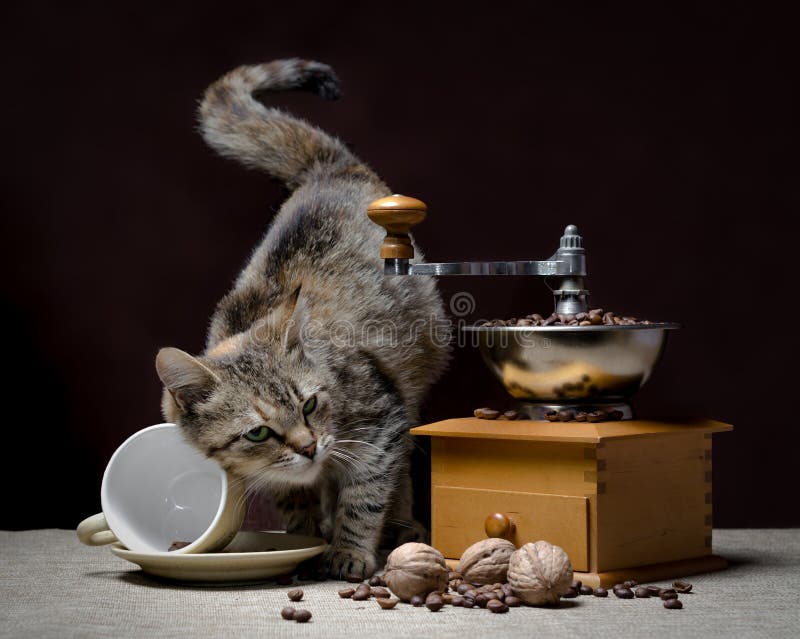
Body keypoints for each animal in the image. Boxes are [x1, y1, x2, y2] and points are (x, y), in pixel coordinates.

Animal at [153, 60, 446, 580]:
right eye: (257, 433)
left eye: (310, 405)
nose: (309, 447)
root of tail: (325, 170)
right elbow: (293, 496)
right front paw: (306, 537)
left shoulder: (381, 424)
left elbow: (365, 494)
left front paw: (348, 550)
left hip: (413, 385)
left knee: (401, 471)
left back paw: (401, 526)